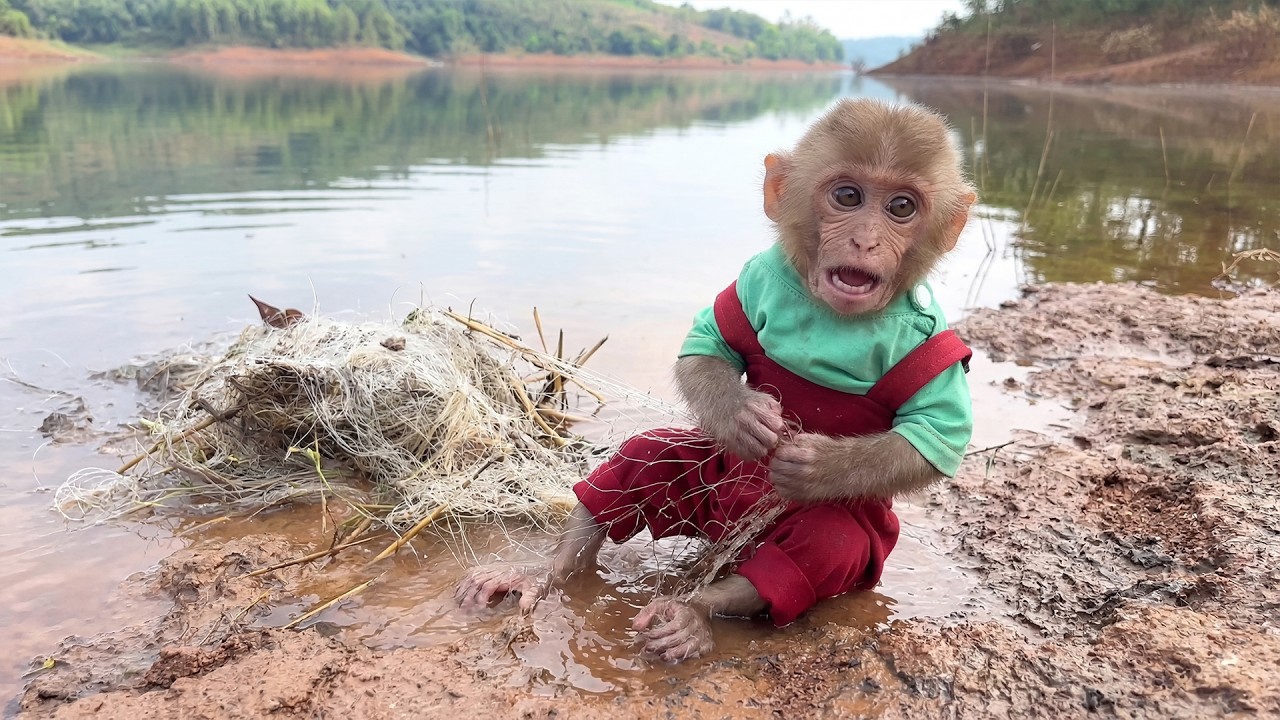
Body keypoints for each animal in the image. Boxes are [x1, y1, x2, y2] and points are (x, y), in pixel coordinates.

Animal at [456, 98, 977, 664]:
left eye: (901, 207)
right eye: (848, 196)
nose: (865, 240)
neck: (834, 315)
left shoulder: (935, 348)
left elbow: (931, 440)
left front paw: (817, 466)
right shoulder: (762, 274)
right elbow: (707, 346)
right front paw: (741, 414)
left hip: (856, 541)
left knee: (827, 543)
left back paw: (696, 612)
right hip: (710, 483)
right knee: (644, 460)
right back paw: (549, 570)